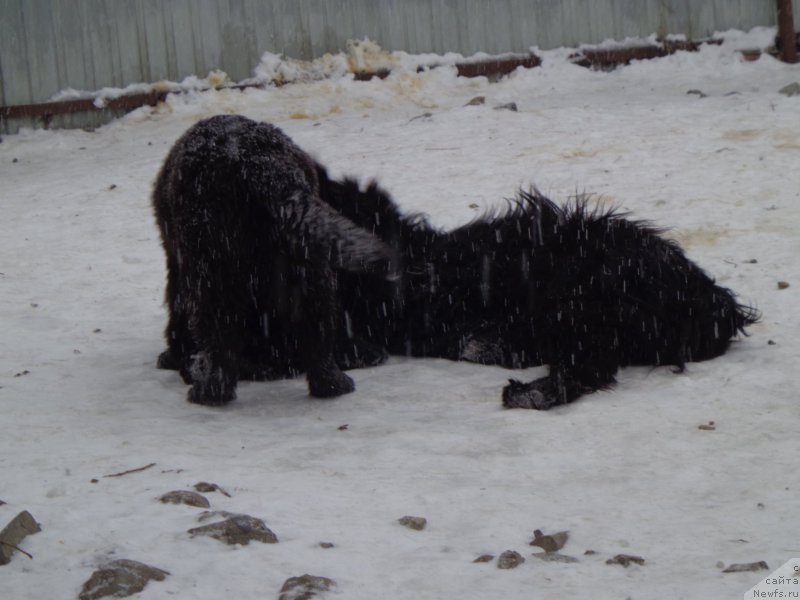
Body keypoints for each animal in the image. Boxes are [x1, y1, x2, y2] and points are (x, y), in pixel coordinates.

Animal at [153, 116, 390, 408]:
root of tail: (259, 164)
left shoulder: (179, 262)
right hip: (309, 262)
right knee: (319, 322)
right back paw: (331, 384)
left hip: (211, 266)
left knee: (218, 333)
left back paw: (210, 392)